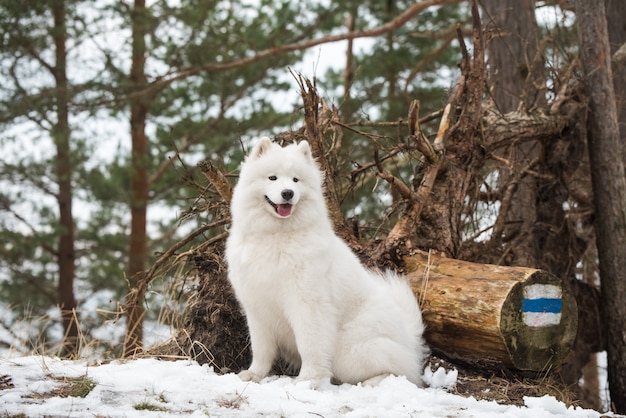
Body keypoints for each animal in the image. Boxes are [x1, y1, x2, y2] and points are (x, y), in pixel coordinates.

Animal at [224, 138, 424, 388]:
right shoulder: (257, 308)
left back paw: (371, 382)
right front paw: (254, 375)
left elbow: (310, 345)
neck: (275, 236)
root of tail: (409, 338)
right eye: (273, 178)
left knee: (400, 373)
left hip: (350, 351)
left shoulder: (307, 304)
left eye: (296, 180)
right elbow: (261, 349)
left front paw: (308, 380)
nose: (288, 193)